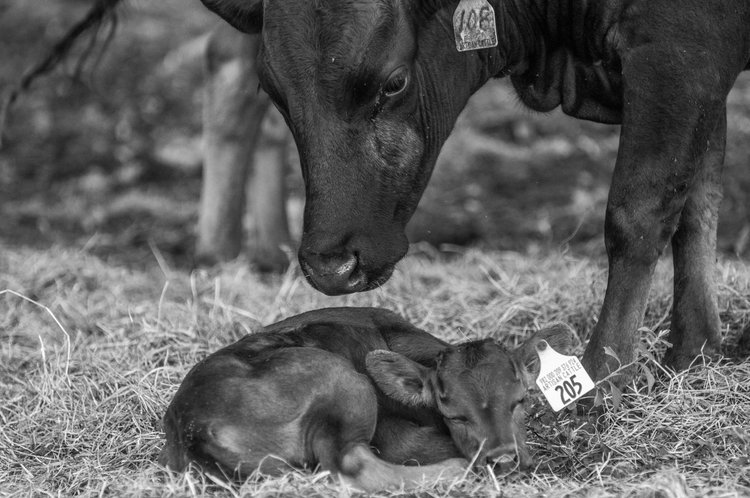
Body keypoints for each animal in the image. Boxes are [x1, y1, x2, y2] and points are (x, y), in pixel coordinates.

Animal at [159, 307, 572, 491]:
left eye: (521, 400)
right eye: (455, 415)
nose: (502, 459)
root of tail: (190, 425)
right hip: (341, 381)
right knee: (352, 466)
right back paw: (457, 470)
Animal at [195, 0, 750, 382]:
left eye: (394, 83)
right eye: (274, 91)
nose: (331, 266)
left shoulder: (680, 57)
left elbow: (641, 214)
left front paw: (604, 376)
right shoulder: (699, 75)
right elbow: (696, 206)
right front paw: (694, 352)